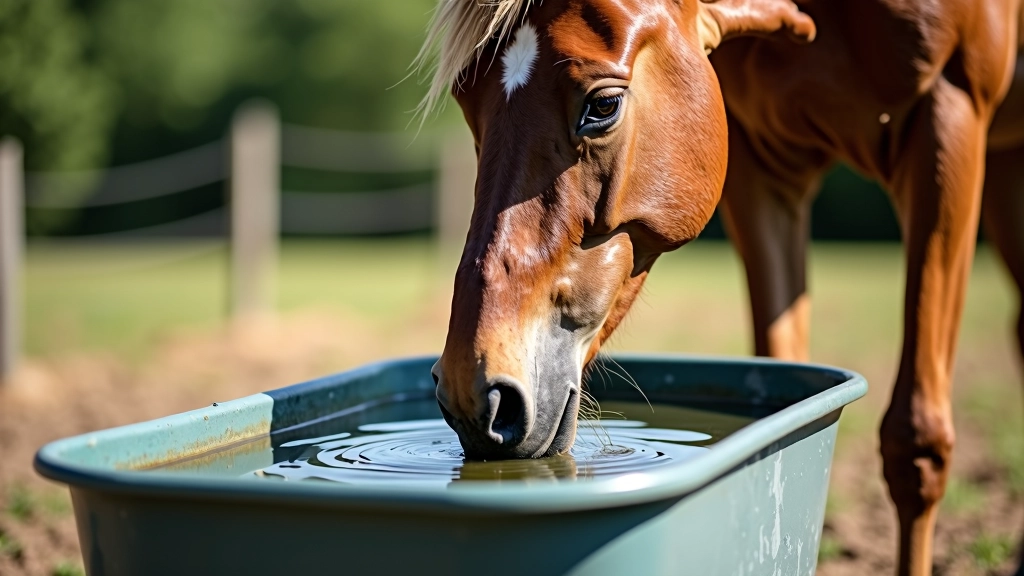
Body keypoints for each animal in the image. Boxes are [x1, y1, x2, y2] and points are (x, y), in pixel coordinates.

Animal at [417, 0, 1024, 574]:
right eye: (468, 108)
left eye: (603, 106)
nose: (475, 393)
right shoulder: (762, 169)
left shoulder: (948, 117)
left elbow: (915, 441)